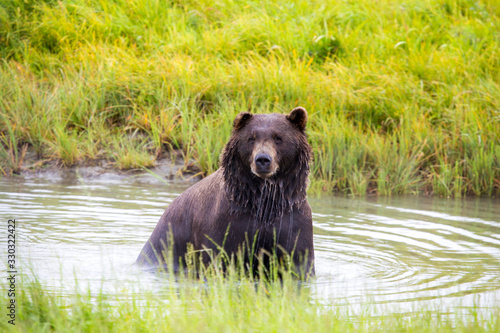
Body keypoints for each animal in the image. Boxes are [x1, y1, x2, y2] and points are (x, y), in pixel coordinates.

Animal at [136, 107, 316, 278]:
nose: (263, 159)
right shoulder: (226, 222)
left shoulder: (292, 221)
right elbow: (219, 259)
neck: (262, 202)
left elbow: (299, 262)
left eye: (278, 138)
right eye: (251, 138)